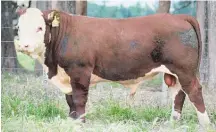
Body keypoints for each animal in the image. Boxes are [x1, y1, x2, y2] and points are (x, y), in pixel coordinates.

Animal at [14, 8, 209, 126]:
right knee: (178, 94)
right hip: (174, 73)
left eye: (40, 28)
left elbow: (79, 99)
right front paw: (72, 122)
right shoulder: (67, 76)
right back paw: (173, 123)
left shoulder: (80, 71)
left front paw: (81, 123)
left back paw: (204, 123)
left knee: (194, 92)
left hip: (185, 70)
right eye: (18, 28)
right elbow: (70, 102)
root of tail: (179, 16)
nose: (24, 45)